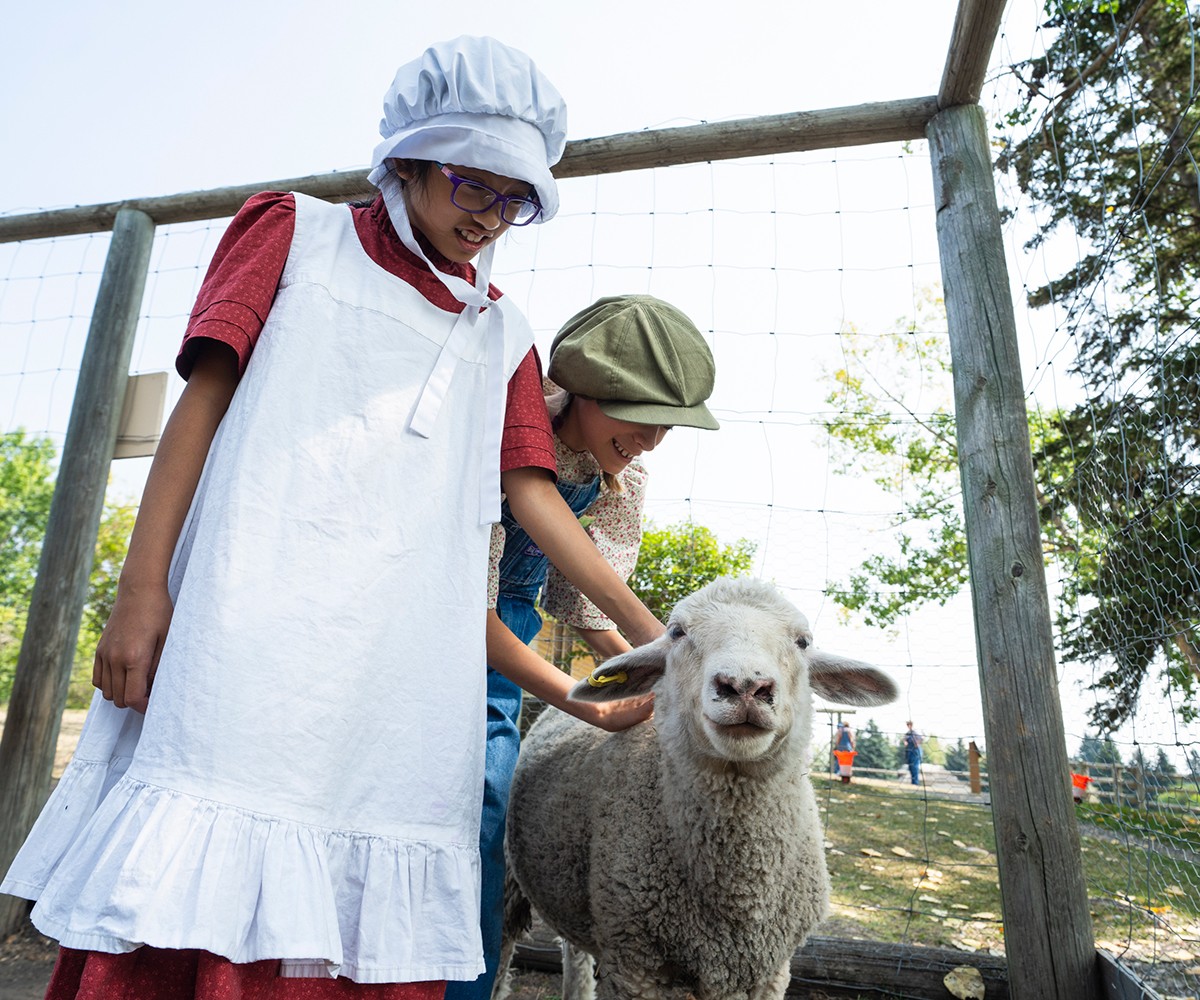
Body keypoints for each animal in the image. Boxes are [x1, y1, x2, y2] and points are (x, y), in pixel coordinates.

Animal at [499, 573, 902, 998]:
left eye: (803, 641)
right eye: (677, 632)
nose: (745, 686)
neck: (738, 893)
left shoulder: (772, 971)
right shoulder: (635, 966)